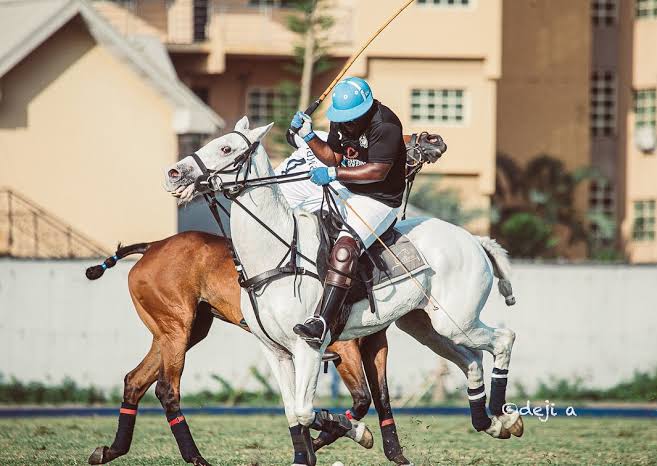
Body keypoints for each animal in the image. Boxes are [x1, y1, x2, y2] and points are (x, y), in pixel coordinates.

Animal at [84, 231, 408, 464]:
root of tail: (153, 245)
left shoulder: (376, 342)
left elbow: (381, 397)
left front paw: (395, 454)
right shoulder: (343, 343)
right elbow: (362, 398)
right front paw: (330, 436)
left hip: (180, 332)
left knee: (135, 380)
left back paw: (110, 451)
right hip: (176, 328)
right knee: (166, 389)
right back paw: (196, 458)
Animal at [164, 118, 524, 464]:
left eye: (226, 148)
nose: (173, 174)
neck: (276, 254)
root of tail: (473, 238)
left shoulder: (309, 346)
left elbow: (305, 410)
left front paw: (356, 431)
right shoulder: (275, 352)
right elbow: (292, 412)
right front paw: (310, 453)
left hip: (457, 321)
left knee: (504, 339)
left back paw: (505, 414)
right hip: (427, 326)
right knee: (473, 359)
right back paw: (492, 423)